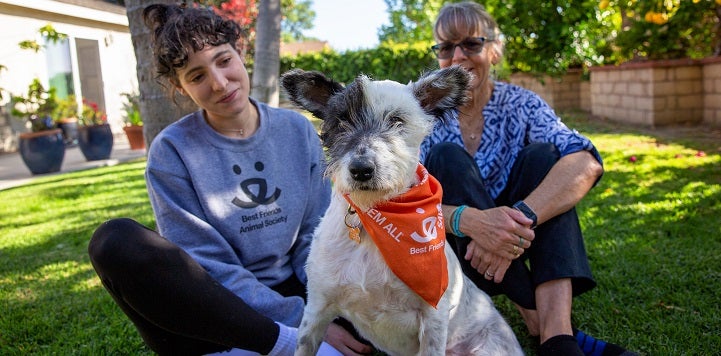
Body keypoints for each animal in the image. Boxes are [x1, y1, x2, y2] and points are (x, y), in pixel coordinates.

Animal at [278, 67, 520, 356]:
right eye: (341, 121)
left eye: (396, 120)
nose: (361, 169)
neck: (376, 219)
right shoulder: (316, 308)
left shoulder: (434, 320)